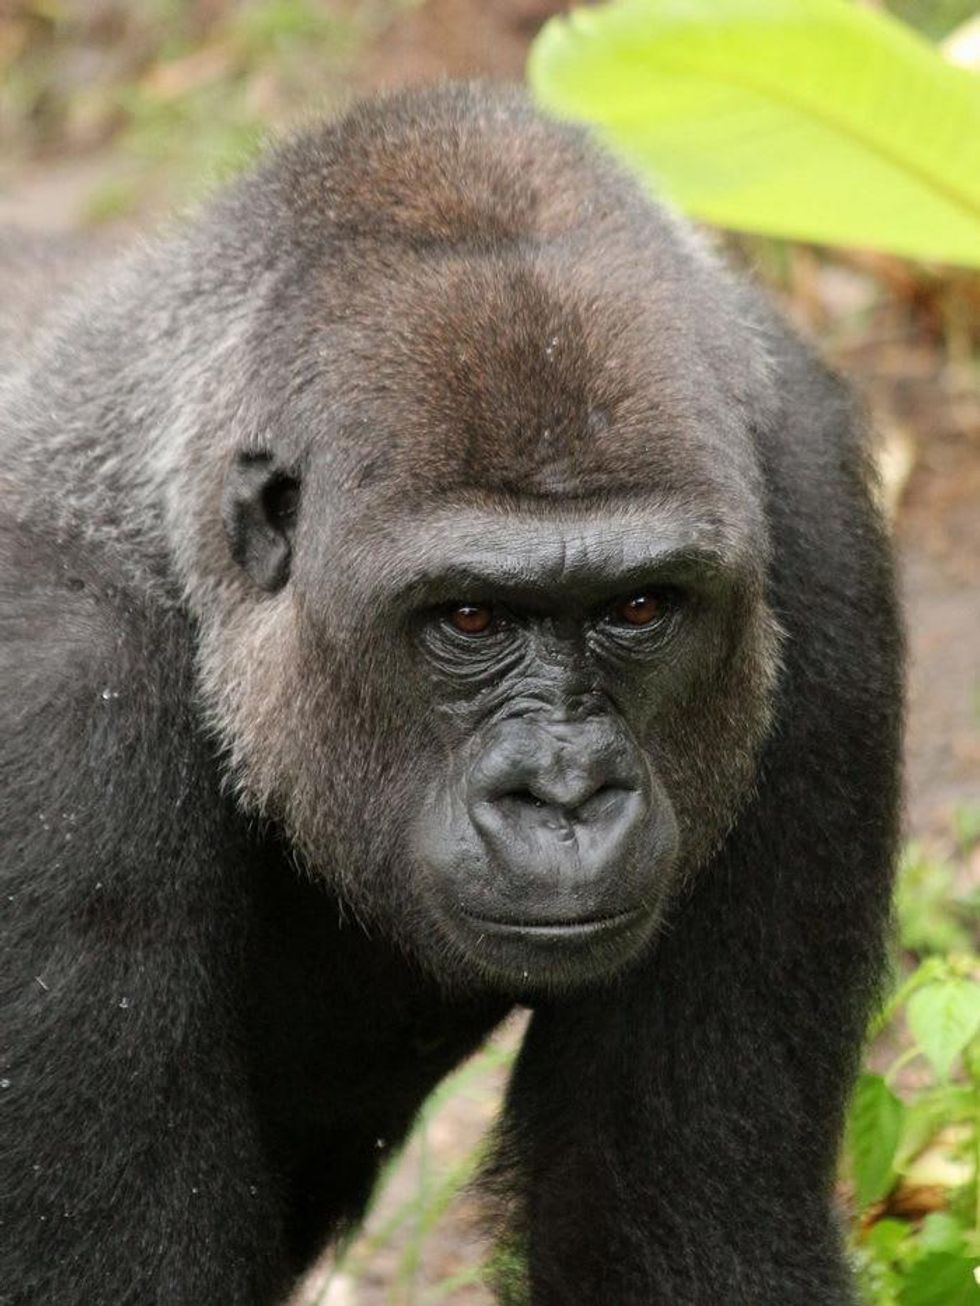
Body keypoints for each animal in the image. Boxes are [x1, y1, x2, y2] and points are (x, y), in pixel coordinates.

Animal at [0, 82, 902, 1305]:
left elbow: (680, 1228)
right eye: (470, 619)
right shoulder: (50, 712)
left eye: (639, 608)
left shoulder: (817, 555)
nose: (566, 795)